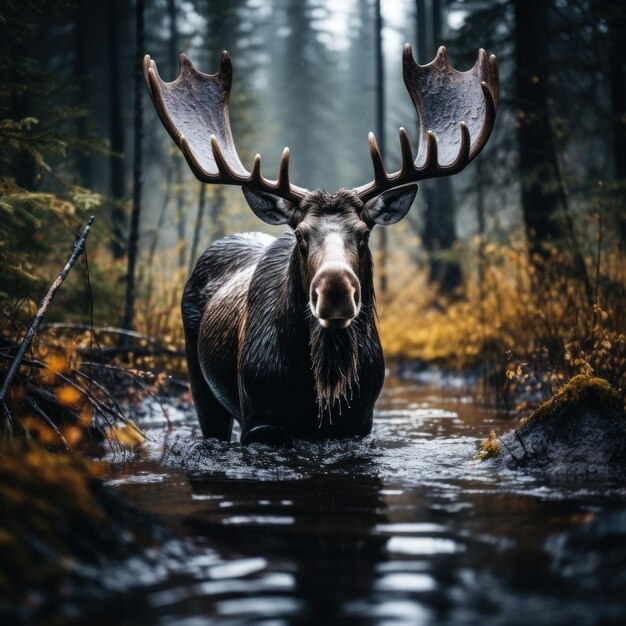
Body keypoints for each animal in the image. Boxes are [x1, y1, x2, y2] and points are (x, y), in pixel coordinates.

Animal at [143, 44, 498, 444]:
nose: (335, 292)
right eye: (300, 235)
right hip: (199, 381)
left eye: (365, 233)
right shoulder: (259, 422)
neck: (314, 389)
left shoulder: (359, 423)